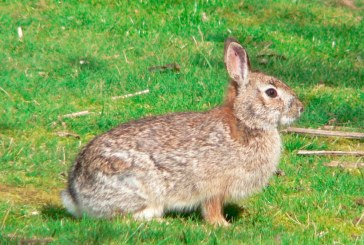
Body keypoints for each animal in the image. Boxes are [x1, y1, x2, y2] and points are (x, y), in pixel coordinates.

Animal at [61, 37, 302, 227]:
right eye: (271, 93)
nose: (300, 108)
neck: (245, 121)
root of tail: (75, 194)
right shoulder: (214, 186)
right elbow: (212, 209)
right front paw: (223, 226)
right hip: (139, 185)